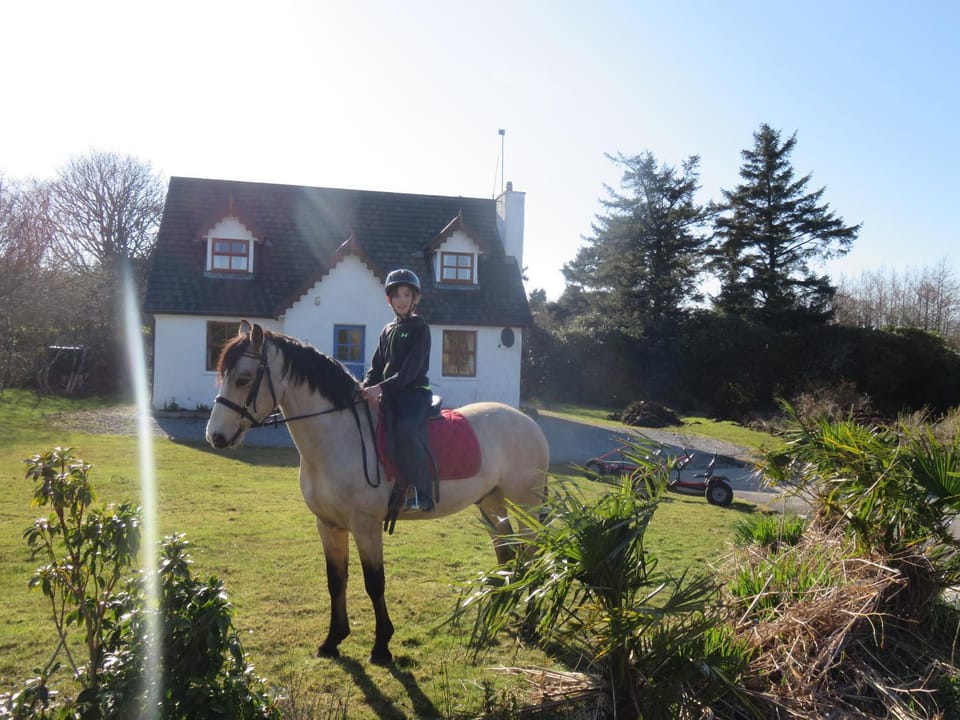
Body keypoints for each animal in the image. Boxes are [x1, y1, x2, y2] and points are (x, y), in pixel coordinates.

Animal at [204, 321, 550, 665]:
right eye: (222, 375)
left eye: (243, 378)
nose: (215, 436)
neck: (339, 437)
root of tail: (528, 423)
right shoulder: (328, 525)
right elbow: (336, 580)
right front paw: (332, 640)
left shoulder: (365, 524)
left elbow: (374, 583)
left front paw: (381, 645)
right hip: (492, 502)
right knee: (506, 553)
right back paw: (501, 608)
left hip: (526, 507)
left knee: (532, 555)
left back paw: (530, 621)